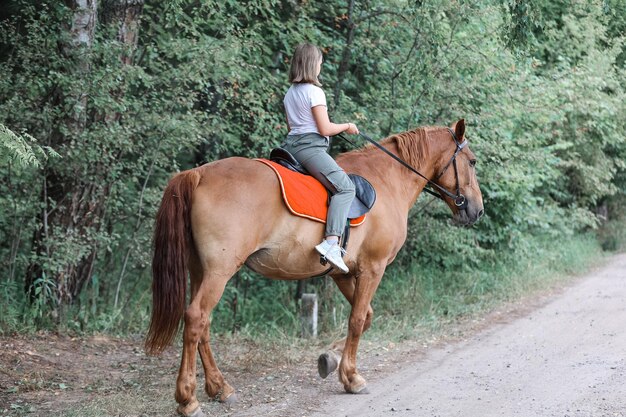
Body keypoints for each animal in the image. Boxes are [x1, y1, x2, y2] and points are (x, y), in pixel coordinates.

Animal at [146, 118, 482, 414]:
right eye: (473, 162)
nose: (477, 210)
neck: (388, 180)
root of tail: (198, 174)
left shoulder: (342, 273)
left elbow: (366, 317)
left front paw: (330, 360)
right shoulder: (373, 268)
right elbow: (357, 320)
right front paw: (351, 377)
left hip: (200, 270)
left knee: (203, 324)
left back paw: (220, 388)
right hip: (219, 271)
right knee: (195, 318)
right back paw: (188, 400)